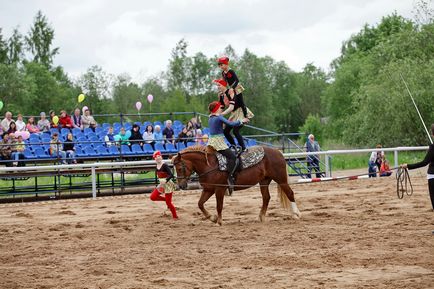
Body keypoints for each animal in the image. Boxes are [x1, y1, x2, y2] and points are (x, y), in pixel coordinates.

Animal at [171, 145, 300, 224]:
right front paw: (212, 218)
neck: (210, 166)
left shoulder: (219, 189)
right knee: (266, 197)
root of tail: (278, 152)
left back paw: (297, 214)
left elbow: (219, 205)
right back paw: (261, 217)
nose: (181, 186)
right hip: (264, 181)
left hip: (281, 179)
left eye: (180, 168)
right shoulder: (208, 189)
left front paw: (219, 221)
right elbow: (200, 204)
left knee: (290, 193)